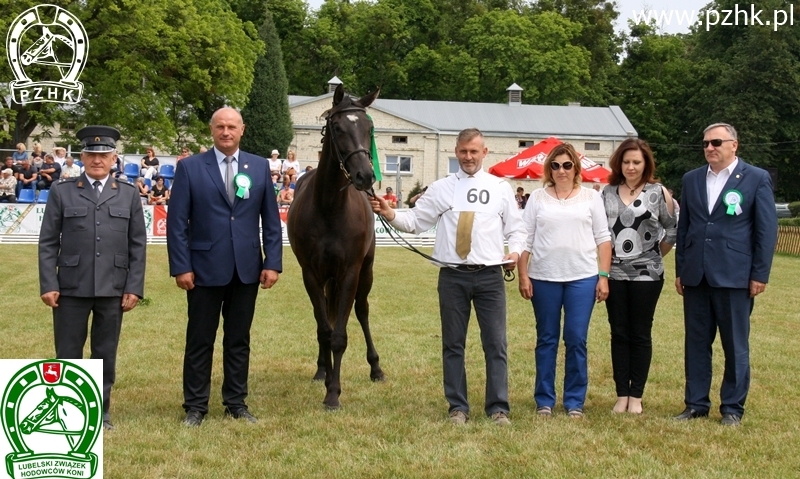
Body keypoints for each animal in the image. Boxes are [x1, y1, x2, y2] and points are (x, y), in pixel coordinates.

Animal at [288, 85, 388, 408]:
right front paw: (328, 380)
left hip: (366, 273)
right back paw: (322, 369)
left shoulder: (349, 273)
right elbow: (325, 330)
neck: (330, 206)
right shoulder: (310, 274)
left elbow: (340, 336)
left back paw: (376, 368)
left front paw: (333, 393)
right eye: (338, 128)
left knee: (362, 311)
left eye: (369, 128)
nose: (366, 176)